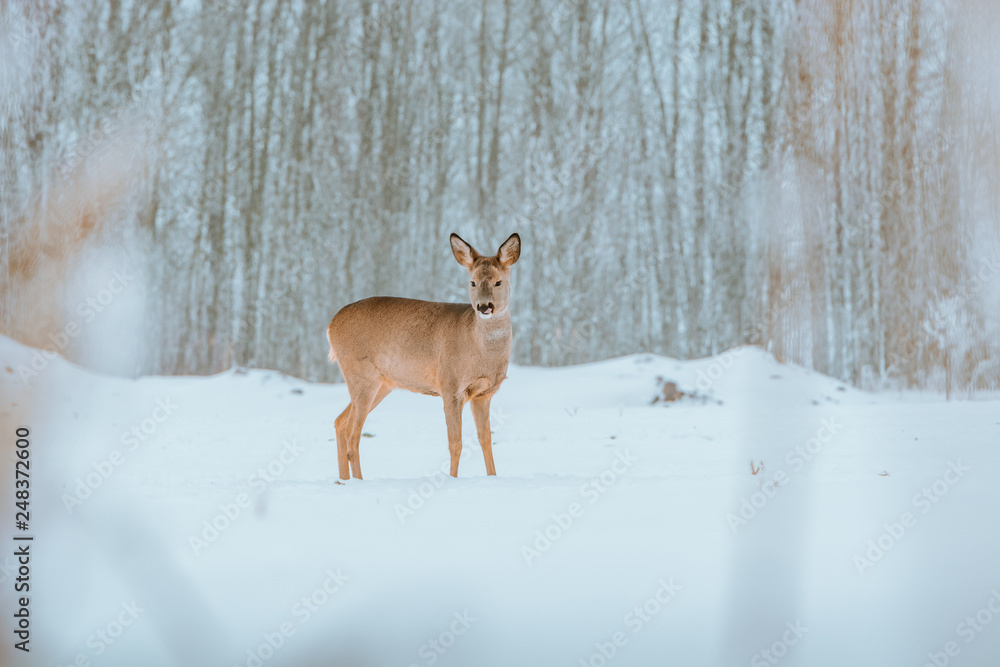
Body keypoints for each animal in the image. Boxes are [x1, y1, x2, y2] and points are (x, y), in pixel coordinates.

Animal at [326, 232, 521, 480]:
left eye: (498, 282)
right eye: (472, 282)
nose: (484, 306)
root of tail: (331, 326)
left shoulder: (484, 393)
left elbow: (485, 441)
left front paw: (492, 478)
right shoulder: (450, 385)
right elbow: (455, 443)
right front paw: (452, 479)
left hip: (382, 383)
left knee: (340, 423)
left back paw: (343, 481)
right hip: (360, 375)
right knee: (353, 434)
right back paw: (358, 482)